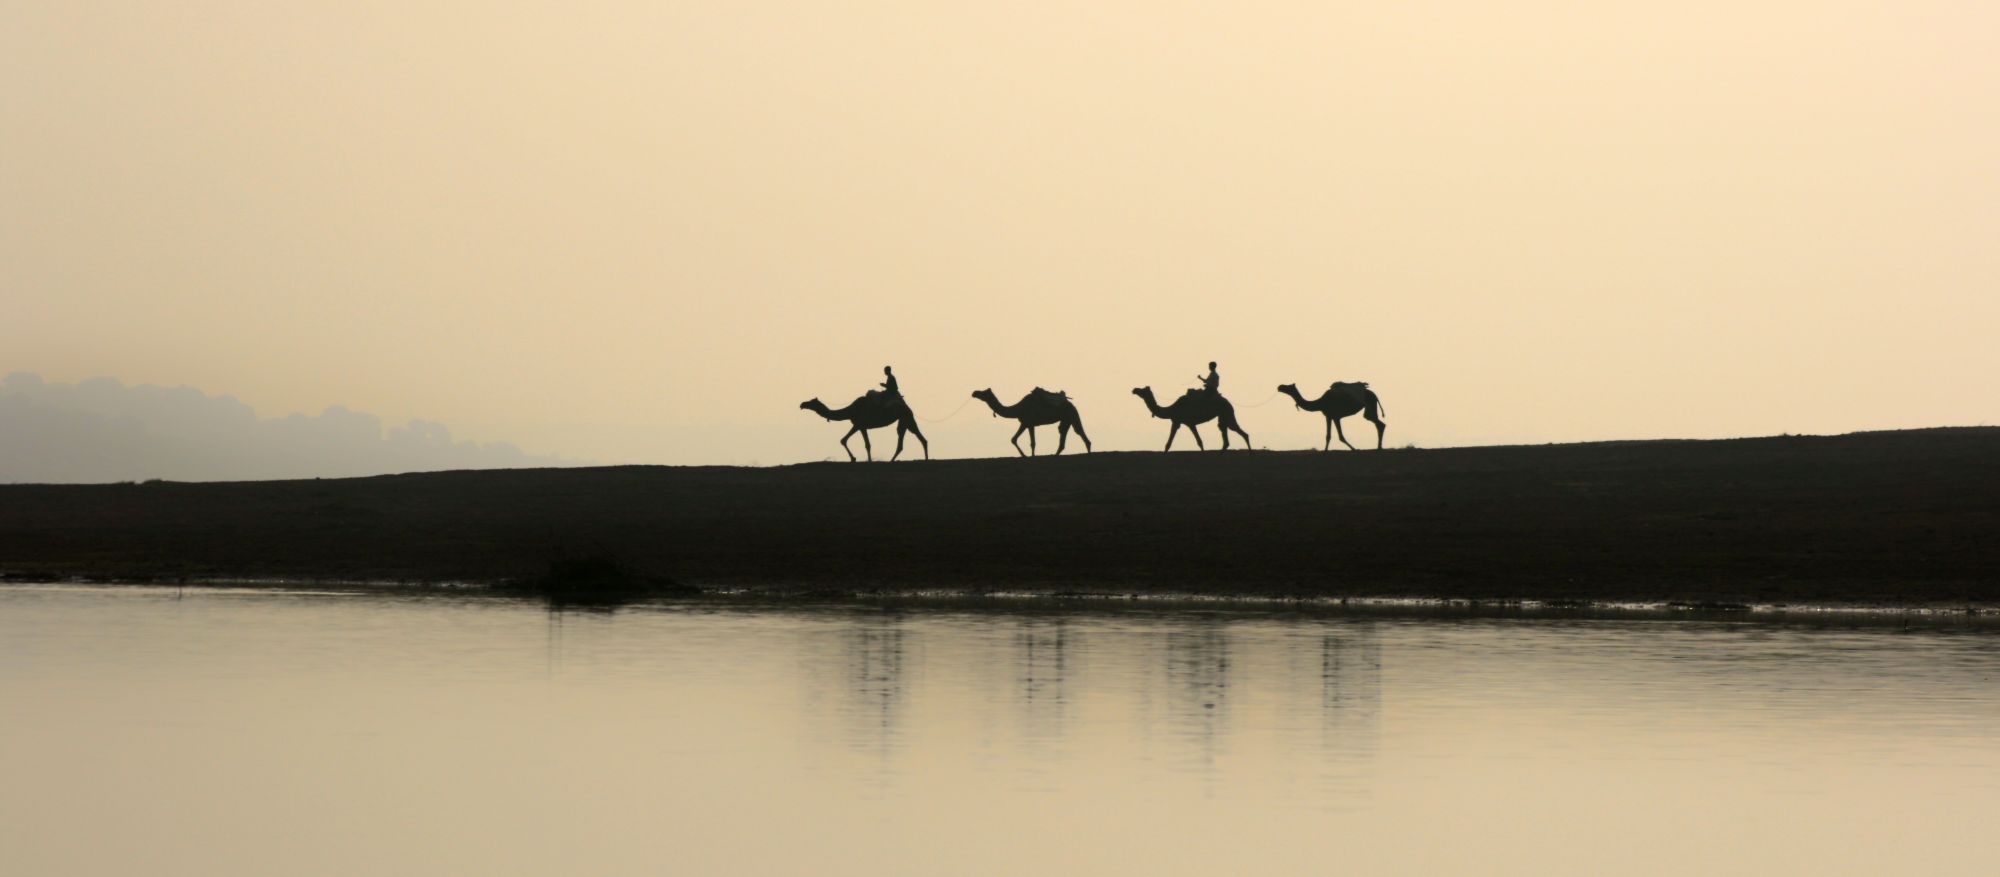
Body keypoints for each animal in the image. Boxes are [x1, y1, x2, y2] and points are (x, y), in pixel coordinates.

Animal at [799, 391, 930, 461]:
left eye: (812, 402)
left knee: (910, 439)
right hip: (905, 421)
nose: (802, 404)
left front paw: (857, 459)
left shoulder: (859, 424)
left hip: (906, 418)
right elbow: (863, 444)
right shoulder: (862, 426)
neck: (850, 410)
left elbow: (848, 441)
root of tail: (907, 407)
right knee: (917, 439)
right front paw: (856, 459)